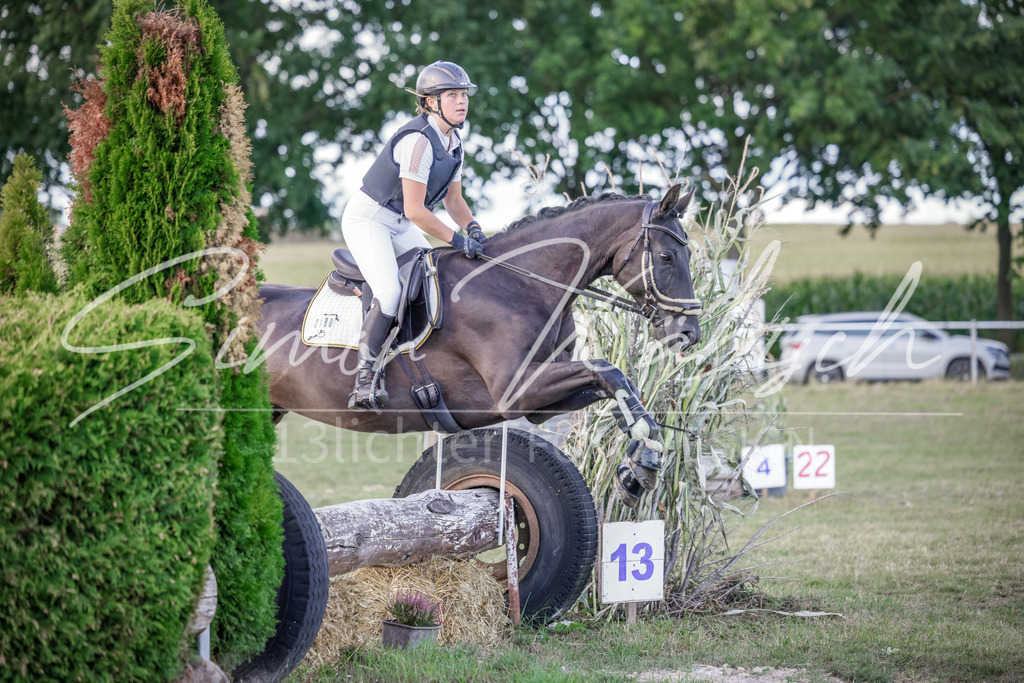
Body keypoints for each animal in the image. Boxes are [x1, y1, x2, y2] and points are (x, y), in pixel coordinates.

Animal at [254, 183, 702, 501]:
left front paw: (639, 460)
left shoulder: (537, 402)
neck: (519, 283)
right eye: (666, 257)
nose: (689, 333)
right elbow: (610, 370)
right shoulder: (515, 390)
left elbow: (615, 382)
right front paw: (642, 457)